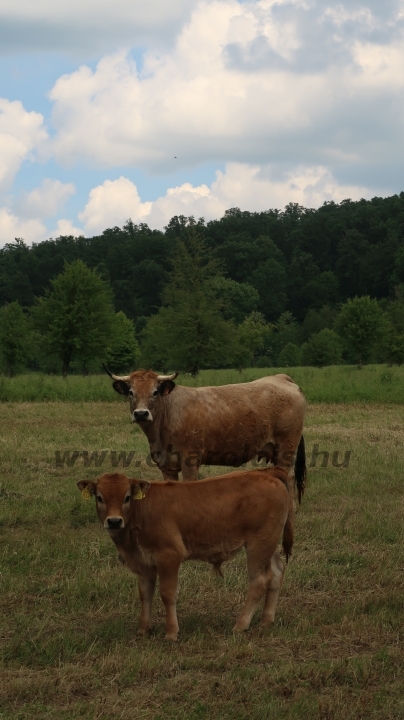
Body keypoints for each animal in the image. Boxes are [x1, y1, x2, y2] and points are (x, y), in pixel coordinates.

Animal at [78, 466, 294, 640]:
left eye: (127, 497)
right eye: (100, 497)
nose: (114, 521)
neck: (141, 511)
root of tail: (266, 472)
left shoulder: (169, 556)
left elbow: (167, 594)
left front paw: (171, 632)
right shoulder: (144, 564)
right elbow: (145, 595)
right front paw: (143, 629)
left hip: (259, 545)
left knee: (259, 581)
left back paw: (240, 625)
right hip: (268, 546)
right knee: (276, 572)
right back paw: (266, 621)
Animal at [103, 366, 306, 500]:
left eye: (155, 392)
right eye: (131, 392)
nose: (141, 413)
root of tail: (282, 378)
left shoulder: (190, 460)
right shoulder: (166, 465)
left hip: (287, 447)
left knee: (289, 476)